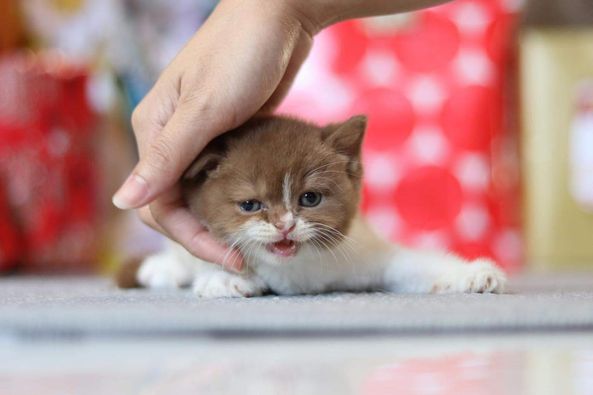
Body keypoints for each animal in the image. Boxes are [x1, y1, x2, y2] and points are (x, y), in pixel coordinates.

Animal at [119, 116, 504, 298]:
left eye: (310, 198)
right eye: (250, 204)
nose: (284, 225)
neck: (296, 272)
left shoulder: (364, 251)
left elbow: (411, 265)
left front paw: (473, 275)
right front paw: (225, 280)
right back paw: (162, 268)